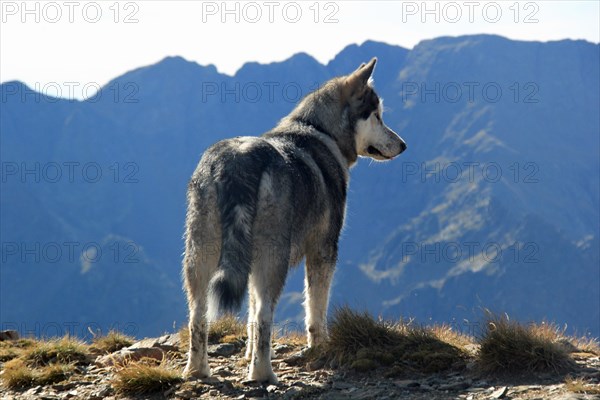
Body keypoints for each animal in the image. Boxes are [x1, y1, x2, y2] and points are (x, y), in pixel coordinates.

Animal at [183, 57, 408, 382]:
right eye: (377, 116)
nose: (403, 145)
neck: (321, 132)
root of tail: (237, 161)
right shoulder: (324, 250)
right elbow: (315, 309)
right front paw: (320, 346)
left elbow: (250, 318)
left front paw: (248, 354)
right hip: (272, 260)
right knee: (265, 315)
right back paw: (262, 374)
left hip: (202, 257)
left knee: (198, 316)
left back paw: (197, 371)